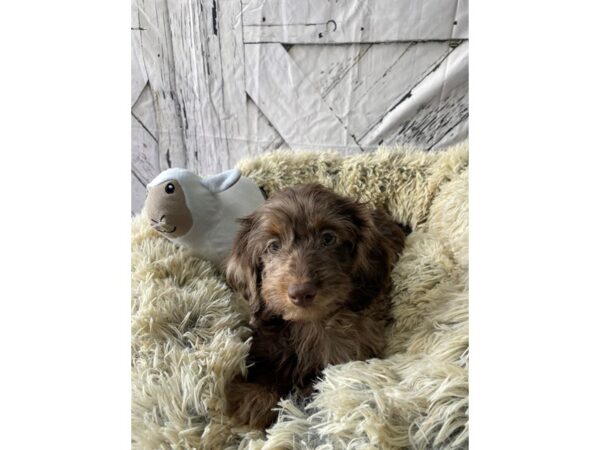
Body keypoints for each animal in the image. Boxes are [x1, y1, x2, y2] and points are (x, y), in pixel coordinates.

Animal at [226, 184, 408, 428]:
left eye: (328, 238)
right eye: (273, 246)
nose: (300, 292)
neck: (309, 323)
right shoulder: (267, 339)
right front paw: (253, 397)